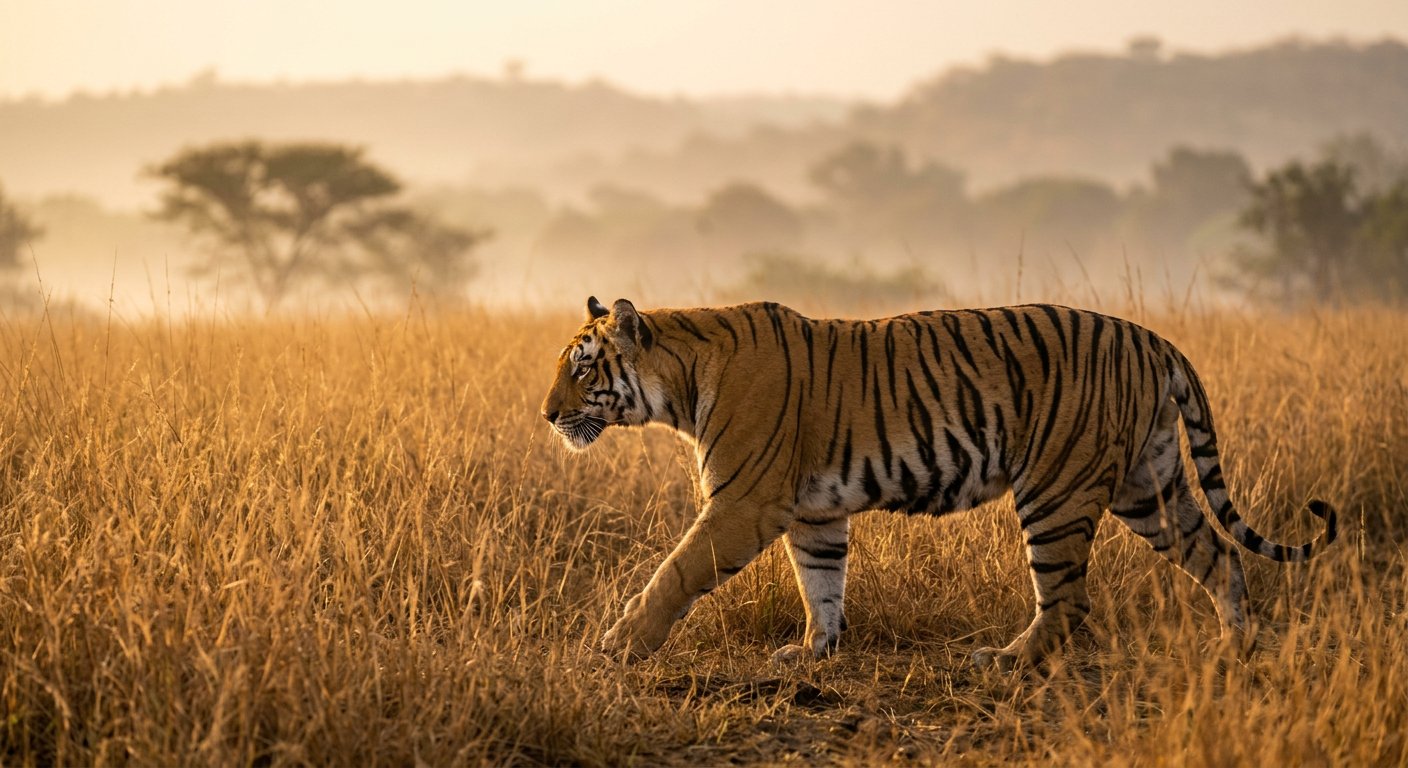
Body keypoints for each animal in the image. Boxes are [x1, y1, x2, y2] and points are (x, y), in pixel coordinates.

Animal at [540, 296, 1338, 670]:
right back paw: (1235, 648)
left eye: (582, 368)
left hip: (1057, 489)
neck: (679, 383)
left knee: (1068, 599)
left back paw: (1007, 661)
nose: (546, 415)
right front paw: (814, 652)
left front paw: (620, 643)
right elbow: (820, 584)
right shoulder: (814, 514)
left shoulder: (744, 502)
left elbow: (673, 574)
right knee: (1220, 555)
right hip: (1151, 485)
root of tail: (1154, 338)